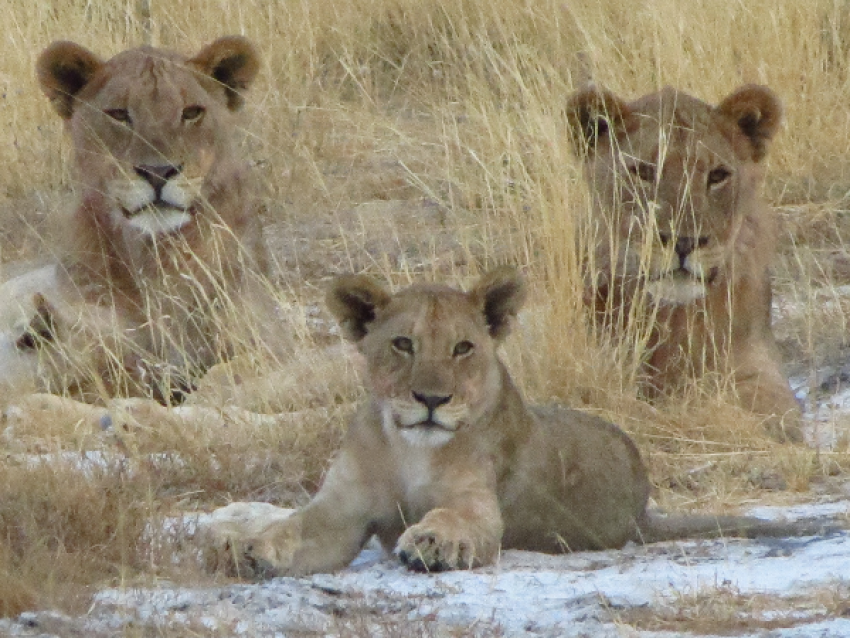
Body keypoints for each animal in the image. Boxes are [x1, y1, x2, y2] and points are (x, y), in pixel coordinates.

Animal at [33, 35, 266, 402]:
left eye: (192, 113)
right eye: (118, 115)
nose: (158, 172)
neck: (156, 259)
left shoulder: (268, 338)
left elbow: (230, 373)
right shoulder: (84, 356)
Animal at [204, 268, 820, 576]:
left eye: (463, 348)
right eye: (402, 344)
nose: (432, 399)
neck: (409, 447)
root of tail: (643, 509)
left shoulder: (480, 505)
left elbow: (456, 519)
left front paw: (431, 543)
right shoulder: (341, 511)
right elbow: (295, 528)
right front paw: (249, 547)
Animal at [568, 84, 800, 444]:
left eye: (717, 176)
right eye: (644, 172)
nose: (683, 242)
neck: (672, 318)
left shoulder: (756, 364)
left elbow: (775, 412)